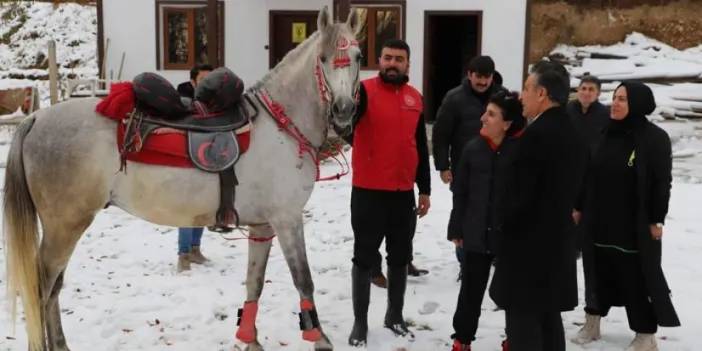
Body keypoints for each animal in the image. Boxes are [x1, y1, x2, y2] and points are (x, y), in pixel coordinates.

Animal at [2, 6, 360, 351]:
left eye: (357, 56)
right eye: (323, 58)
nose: (343, 110)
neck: (279, 125)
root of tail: (36, 118)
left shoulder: (262, 227)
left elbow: (254, 282)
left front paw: (250, 339)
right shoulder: (287, 219)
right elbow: (304, 280)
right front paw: (320, 340)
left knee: (53, 289)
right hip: (64, 227)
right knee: (42, 289)